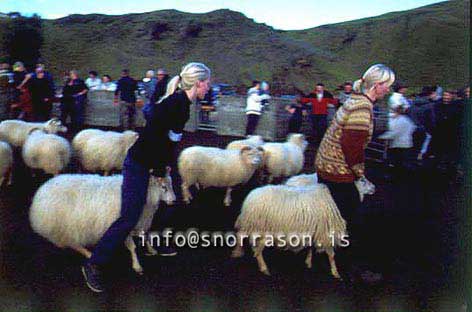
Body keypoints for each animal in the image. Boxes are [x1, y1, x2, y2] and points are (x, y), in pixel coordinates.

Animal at [30, 172, 177, 274]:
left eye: (170, 185)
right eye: (163, 187)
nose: (174, 200)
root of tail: (41, 192)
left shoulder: (139, 221)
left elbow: (144, 236)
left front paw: (151, 249)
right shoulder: (124, 224)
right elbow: (132, 247)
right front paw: (137, 266)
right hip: (68, 226)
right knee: (73, 242)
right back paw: (88, 253)